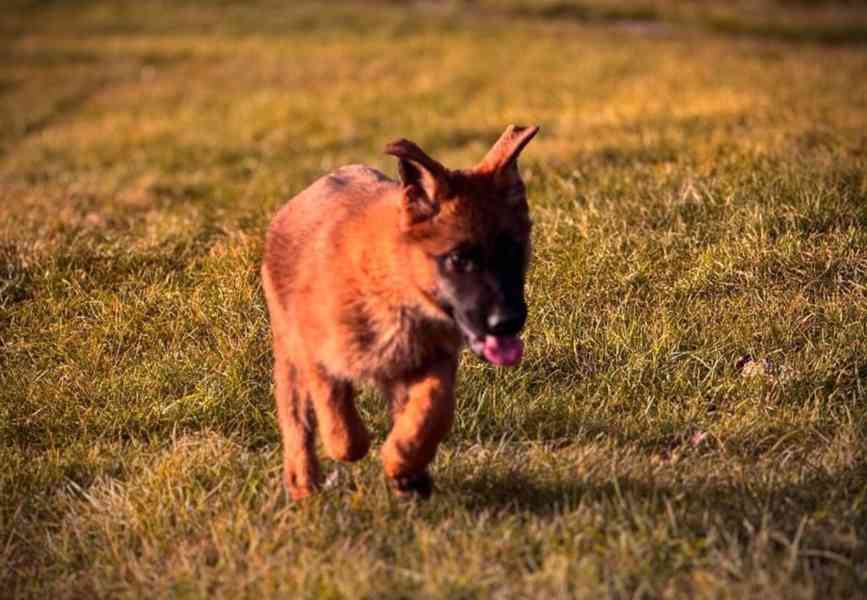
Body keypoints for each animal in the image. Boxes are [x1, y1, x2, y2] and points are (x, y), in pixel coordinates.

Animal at [262, 124, 540, 500]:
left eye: (514, 250)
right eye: (459, 259)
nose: (508, 322)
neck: (398, 285)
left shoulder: (433, 360)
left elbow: (434, 410)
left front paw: (402, 461)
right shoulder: (315, 355)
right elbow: (343, 429)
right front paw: (357, 446)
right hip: (289, 356)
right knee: (297, 425)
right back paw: (303, 486)